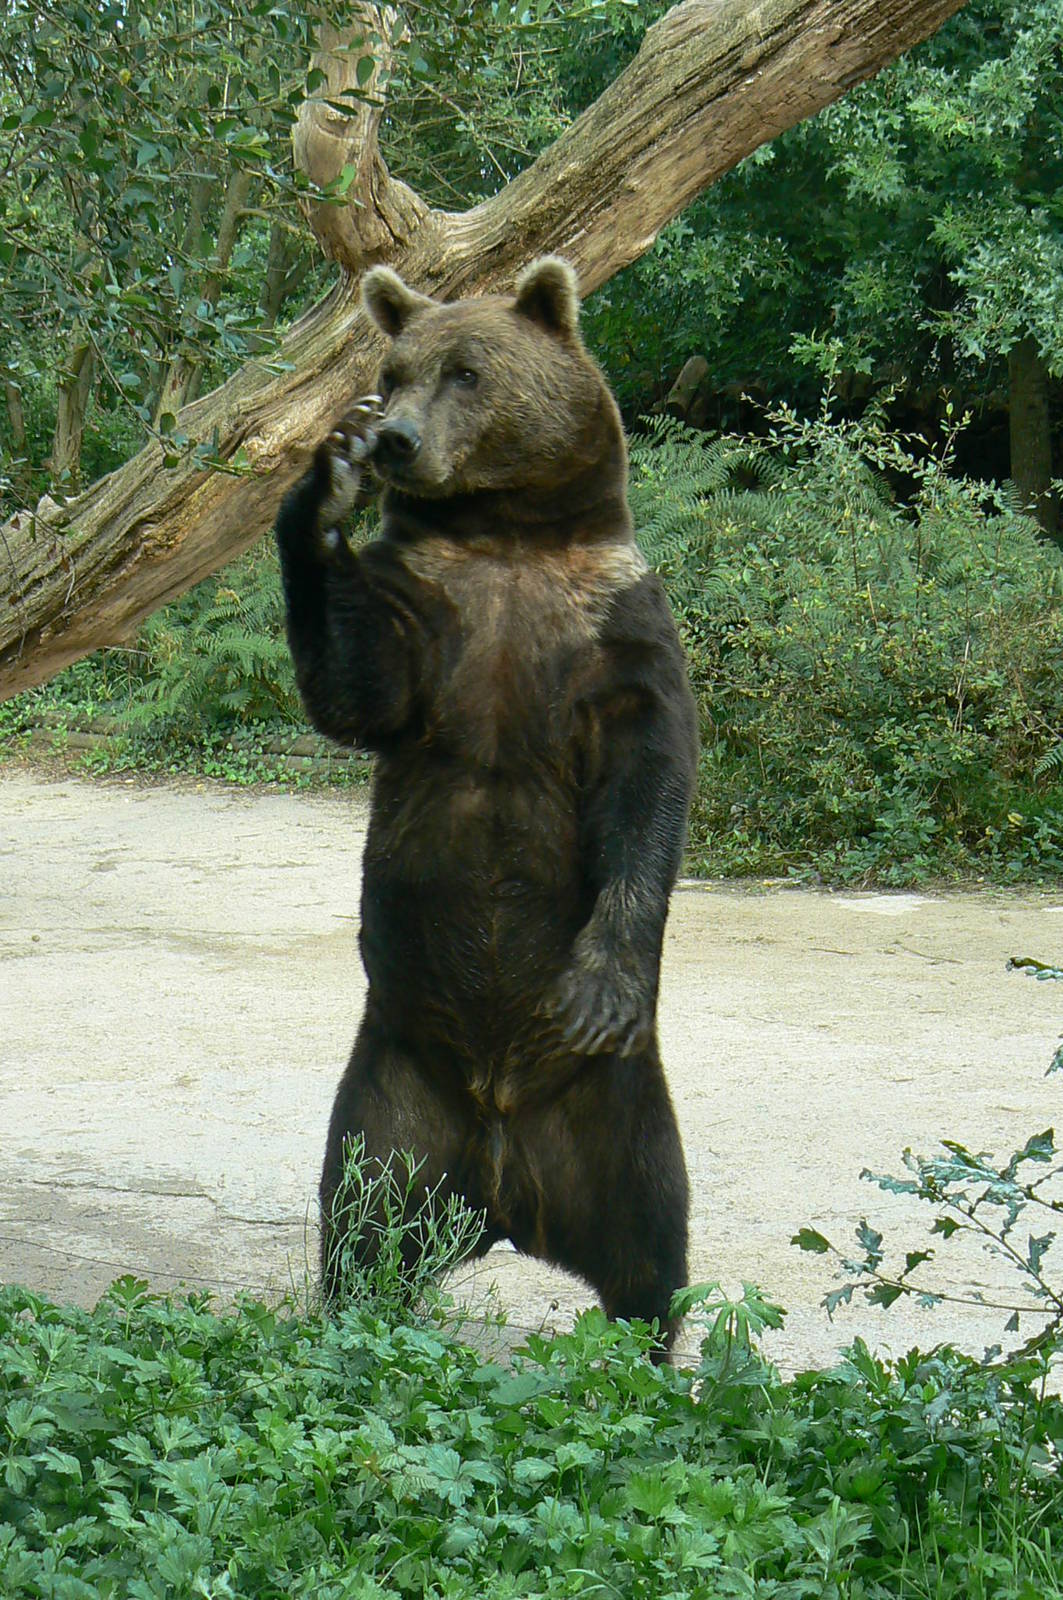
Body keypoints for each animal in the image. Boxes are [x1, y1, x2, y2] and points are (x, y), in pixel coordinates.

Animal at [273, 256, 698, 1356]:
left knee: (652, 1246)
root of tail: (504, 1190)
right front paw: (324, 487)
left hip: (618, 1108)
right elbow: (357, 688)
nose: (392, 438)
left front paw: (597, 986)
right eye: (391, 371)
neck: (505, 537)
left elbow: (650, 780)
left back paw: (646, 1350)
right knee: (361, 1223)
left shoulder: (613, 623)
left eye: (467, 370)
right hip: (394, 1095)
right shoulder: (428, 610)